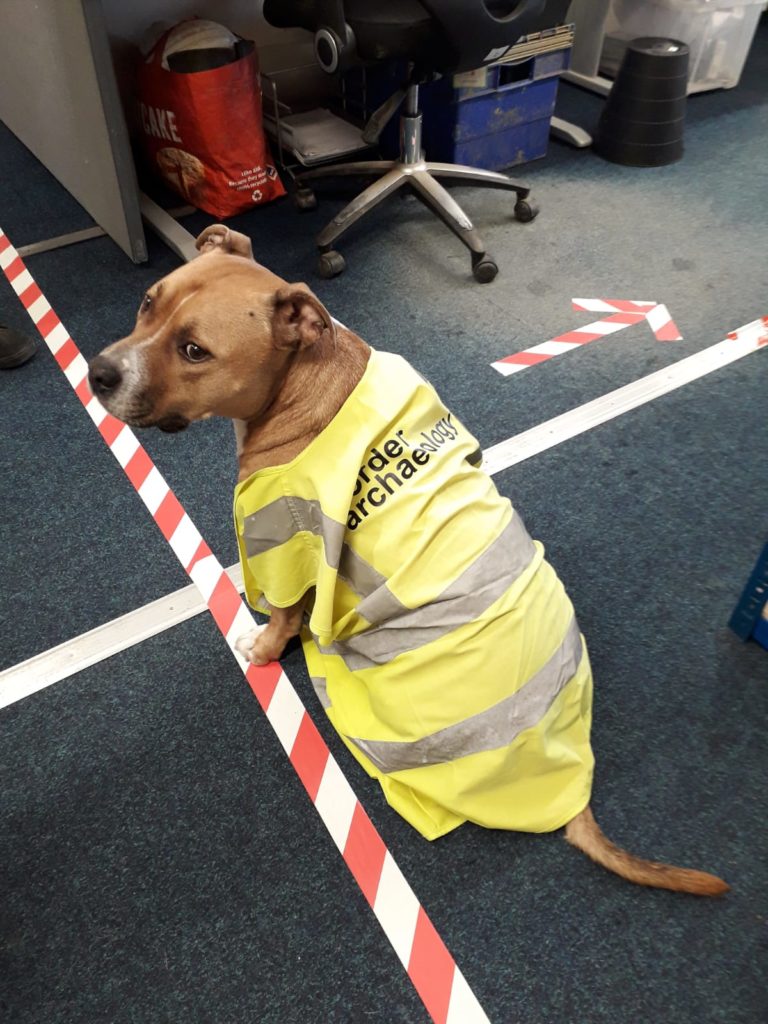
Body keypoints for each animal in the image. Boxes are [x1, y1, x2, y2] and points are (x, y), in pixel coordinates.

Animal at [87, 226, 729, 897]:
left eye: (195, 351)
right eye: (147, 302)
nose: (99, 373)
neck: (298, 384)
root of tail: (573, 789)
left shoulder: (282, 545)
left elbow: (283, 617)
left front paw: (262, 649)